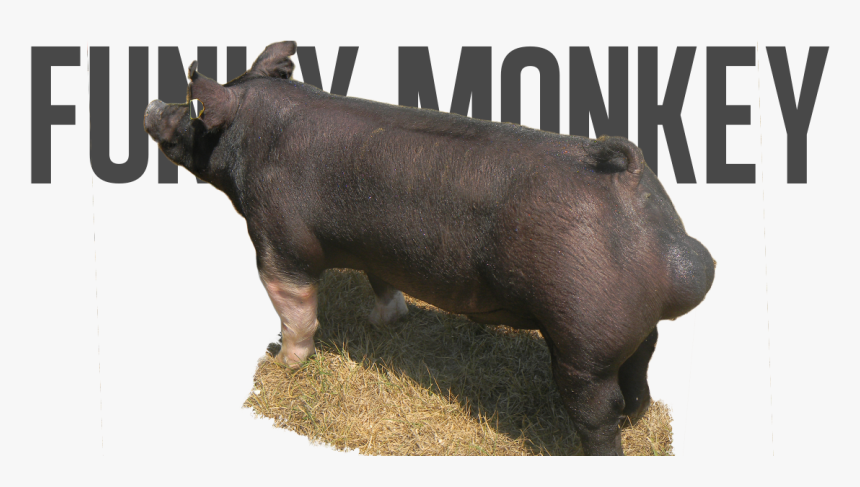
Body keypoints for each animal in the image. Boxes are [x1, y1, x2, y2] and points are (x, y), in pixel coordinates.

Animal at [143, 41, 715, 456]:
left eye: (194, 108)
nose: (151, 102)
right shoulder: (377, 248)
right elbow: (383, 283)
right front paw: (383, 324)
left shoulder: (277, 239)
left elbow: (296, 309)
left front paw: (283, 361)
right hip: (629, 331)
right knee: (641, 366)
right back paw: (640, 416)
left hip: (582, 343)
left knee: (599, 410)